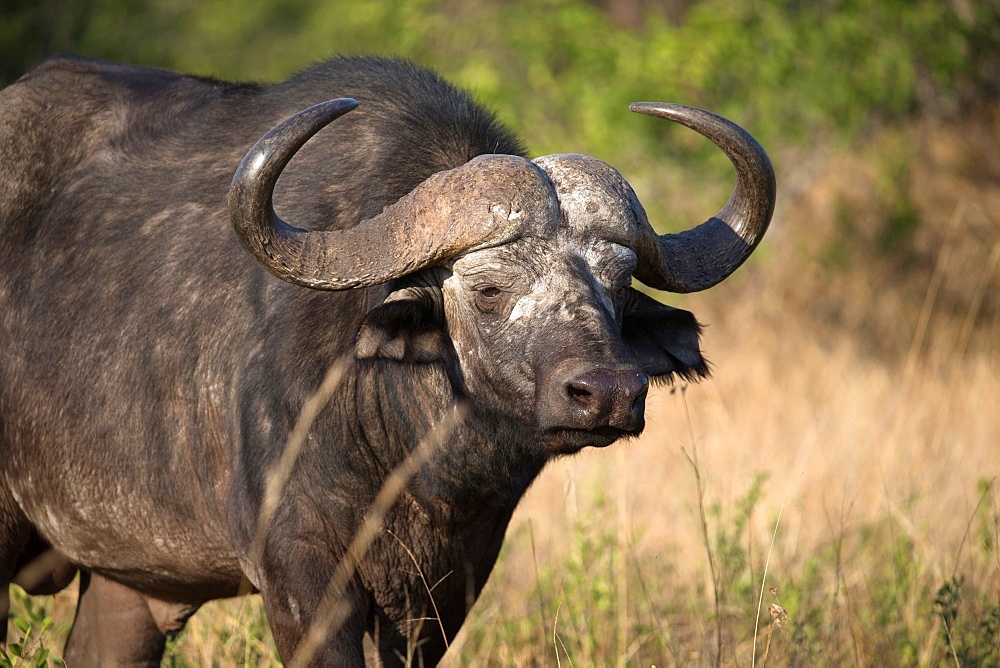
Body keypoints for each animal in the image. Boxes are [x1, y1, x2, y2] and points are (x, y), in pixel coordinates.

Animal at [0, 54, 772, 664]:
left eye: (615, 285)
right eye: (488, 289)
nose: (608, 391)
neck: (411, 464)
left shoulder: (442, 591)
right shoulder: (301, 571)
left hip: (130, 584)